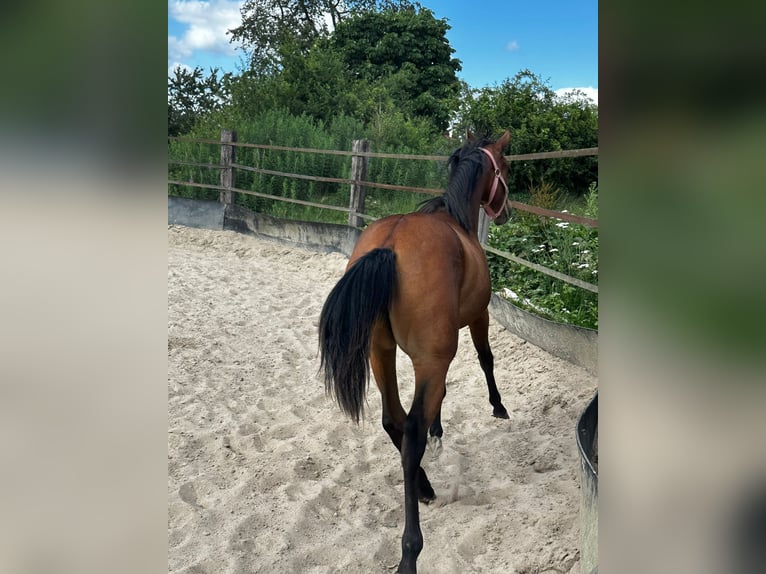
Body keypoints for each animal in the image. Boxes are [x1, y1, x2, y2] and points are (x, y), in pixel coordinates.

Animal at [318, 131, 512, 573]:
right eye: (505, 167)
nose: (507, 212)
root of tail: (389, 247)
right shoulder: (477, 318)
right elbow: (486, 360)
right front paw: (498, 407)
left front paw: (441, 426)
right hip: (427, 358)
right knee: (410, 435)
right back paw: (411, 548)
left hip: (380, 352)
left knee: (394, 421)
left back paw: (424, 486)